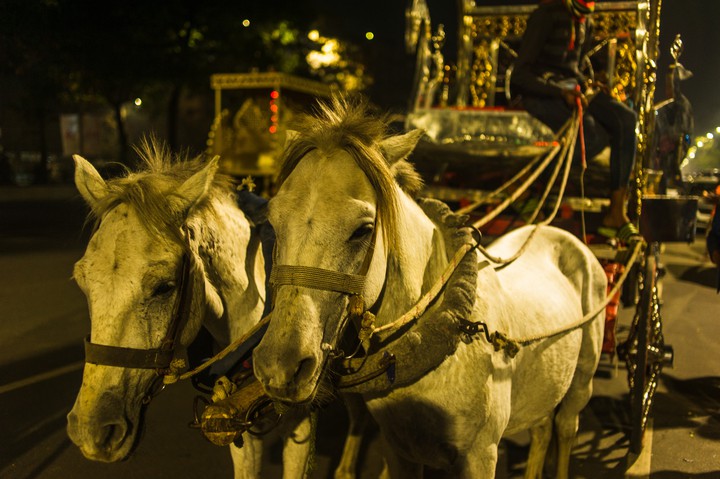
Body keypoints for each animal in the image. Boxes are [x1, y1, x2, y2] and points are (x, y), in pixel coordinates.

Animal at [252, 97, 607, 478]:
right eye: (272, 222)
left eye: (363, 229)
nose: (280, 366)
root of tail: (562, 234)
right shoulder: (399, 451)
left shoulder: (481, 456)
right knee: (541, 428)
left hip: (581, 383)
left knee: (565, 427)